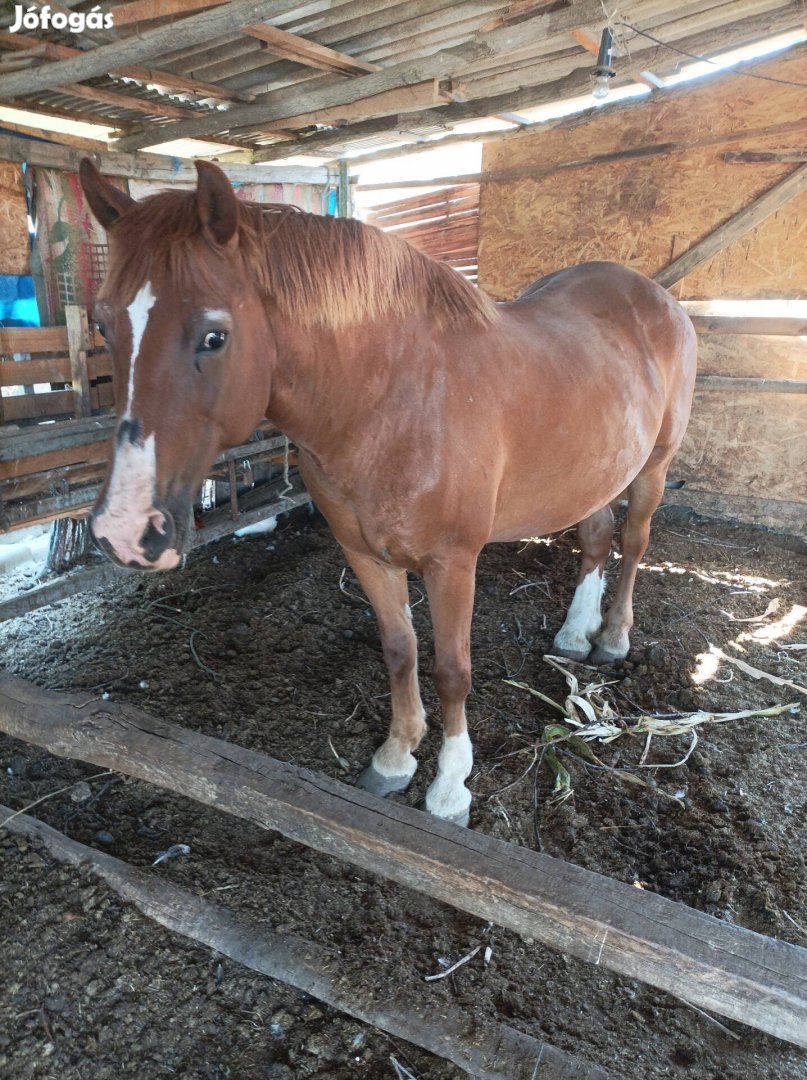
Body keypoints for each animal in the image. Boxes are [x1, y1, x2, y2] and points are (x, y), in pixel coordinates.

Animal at [83, 156, 700, 820]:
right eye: (103, 324)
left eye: (214, 335)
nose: (125, 531)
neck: (391, 402)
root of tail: (658, 297)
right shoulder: (365, 554)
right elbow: (400, 650)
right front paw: (396, 757)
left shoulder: (453, 562)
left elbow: (452, 670)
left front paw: (450, 784)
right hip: (596, 470)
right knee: (595, 539)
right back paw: (574, 633)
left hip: (653, 468)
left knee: (632, 544)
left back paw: (611, 638)